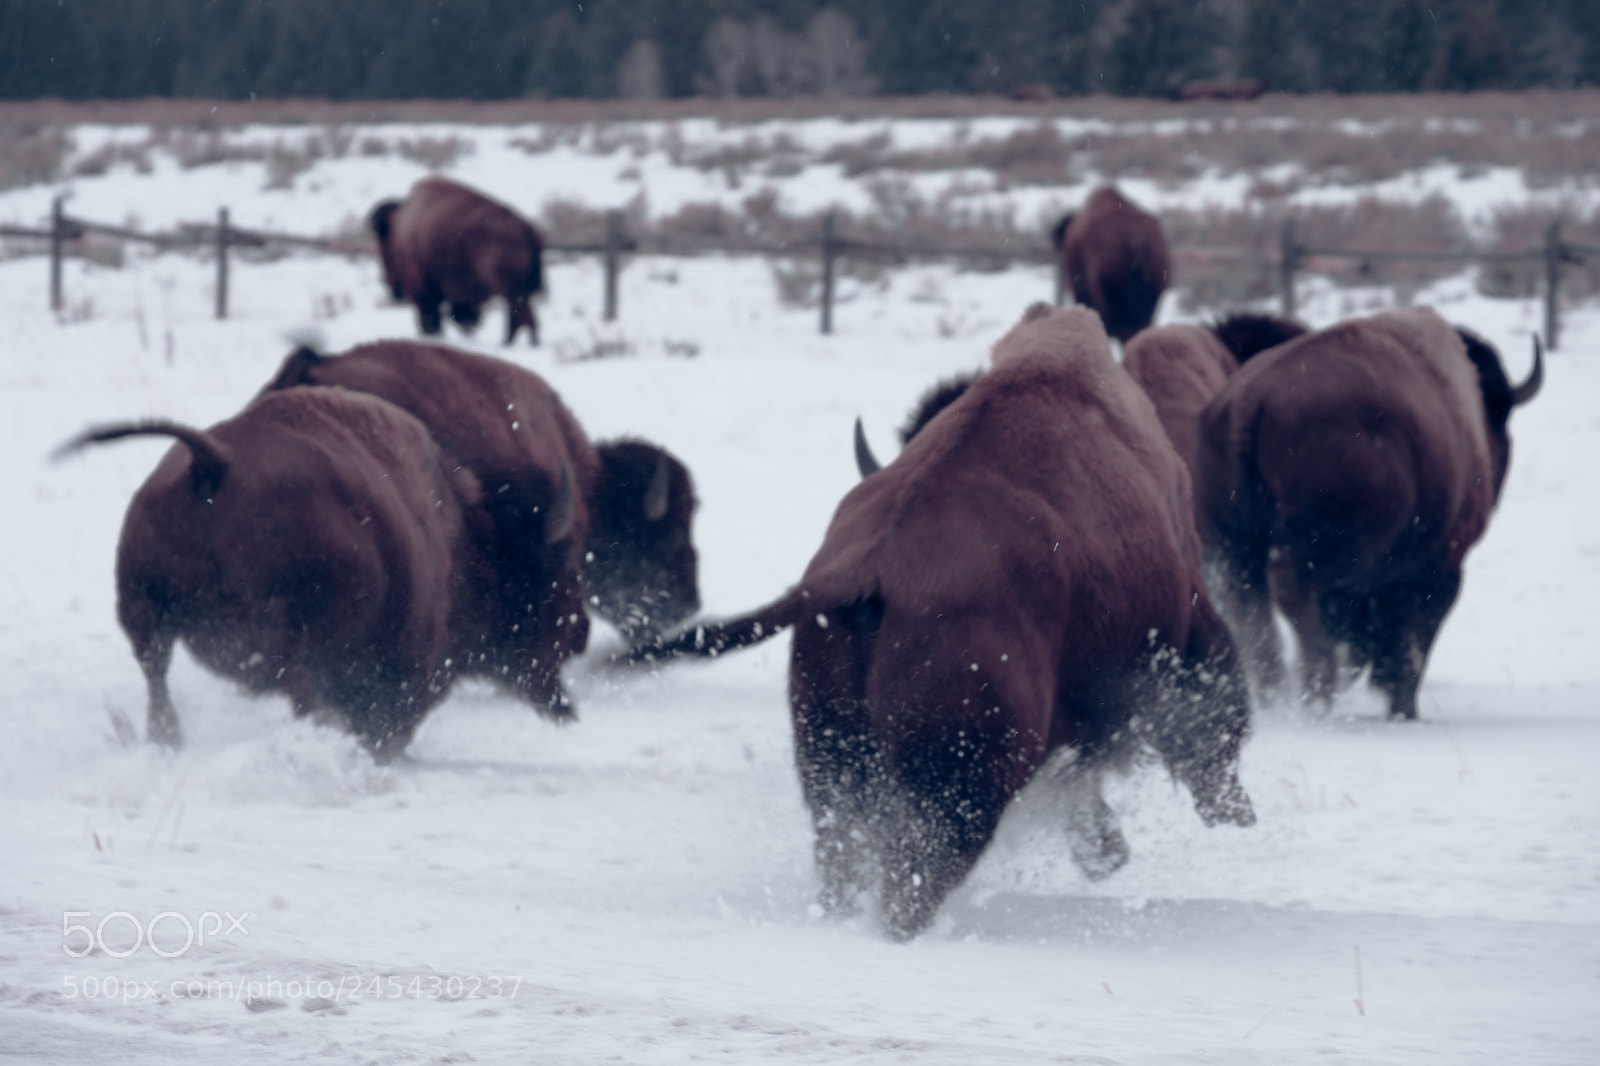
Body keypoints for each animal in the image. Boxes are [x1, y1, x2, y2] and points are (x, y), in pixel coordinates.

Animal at [57, 388, 479, 759]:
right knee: (296, 684)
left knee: (155, 671)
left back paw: (166, 740)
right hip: (284, 625)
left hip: (144, 606)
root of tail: (214, 461)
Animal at [370, 177, 546, 345]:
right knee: (525, 316)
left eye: (384, 252)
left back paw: (509, 342)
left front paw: (431, 332)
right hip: (517, 290)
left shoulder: (419, 280)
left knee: (519, 315)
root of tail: (526, 229)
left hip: (509, 289)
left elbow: (428, 307)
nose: (393, 289)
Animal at [1194, 309, 1543, 719]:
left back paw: (1276, 695)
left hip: (1230, 547)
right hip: (1320, 549)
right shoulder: (1438, 569)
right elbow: (1412, 642)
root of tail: (1248, 403)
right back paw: (1317, 690)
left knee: (1249, 610)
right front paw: (1404, 709)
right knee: (1292, 593)